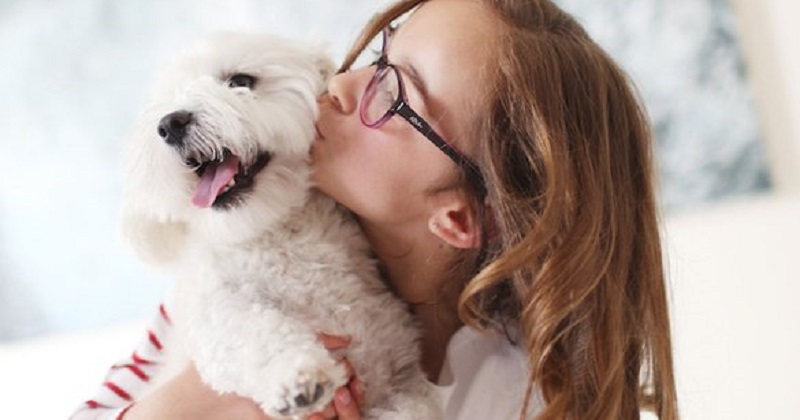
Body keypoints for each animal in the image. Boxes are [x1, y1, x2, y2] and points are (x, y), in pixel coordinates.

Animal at [122, 33, 440, 420]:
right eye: (168, 102)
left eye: (240, 81)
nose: (170, 123)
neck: (278, 235)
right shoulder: (213, 306)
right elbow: (250, 331)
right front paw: (299, 377)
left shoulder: (400, 372)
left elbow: (413, 405)